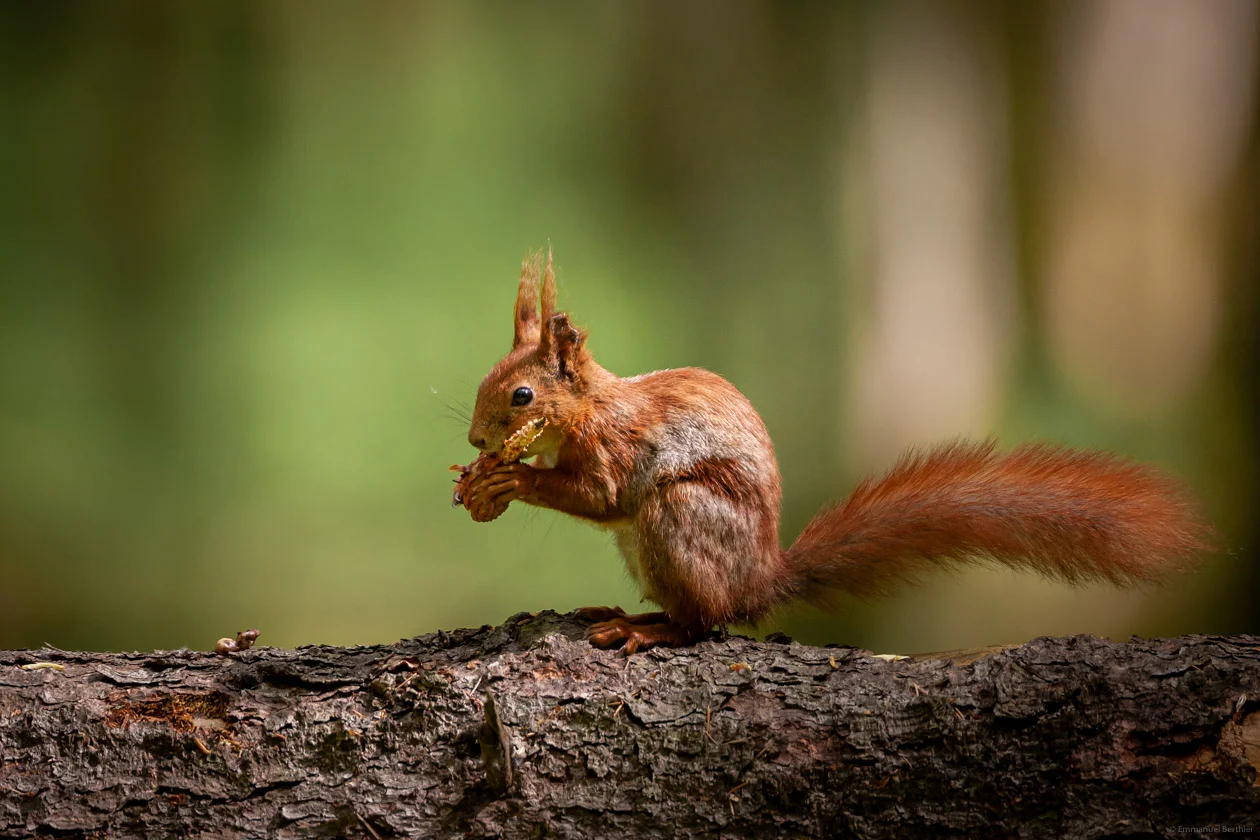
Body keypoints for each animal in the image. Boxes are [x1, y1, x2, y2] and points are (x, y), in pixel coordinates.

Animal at [453, 253, 1209, 654]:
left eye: (521, 395)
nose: (474, 441)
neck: (592, 408)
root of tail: (760, 579)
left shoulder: (616, 446)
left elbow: (601, 495)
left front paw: (509, 478)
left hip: (681, 516)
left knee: (701, 622)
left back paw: (648, 632)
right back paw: (627, 615)